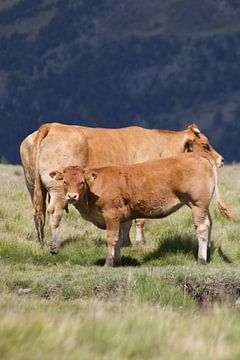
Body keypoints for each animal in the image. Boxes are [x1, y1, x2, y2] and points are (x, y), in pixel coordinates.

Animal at [19, 122, 224, 255]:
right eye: (205, 145)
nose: (221, 160)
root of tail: (52, 126)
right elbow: (139, 219)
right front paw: (140, 243)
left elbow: (127, 220)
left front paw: (126, 242)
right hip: (59, 190)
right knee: (54, 213)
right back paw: (55, 247)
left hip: (32, 186)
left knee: (39, 214)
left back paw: (41, 242)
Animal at [49, 150, 236, 266]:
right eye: (64, 181)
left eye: (81, 182)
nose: (71, 196)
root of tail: (198, 154)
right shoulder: (121, 216)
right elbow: (119, 239)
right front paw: (118, 261)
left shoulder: (111, 214)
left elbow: (111, 238)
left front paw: (108, 263)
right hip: (203, 205)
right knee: (210, 223)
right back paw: (208, 254)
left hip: (197, 203)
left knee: (202, 227)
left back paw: (201, 259)